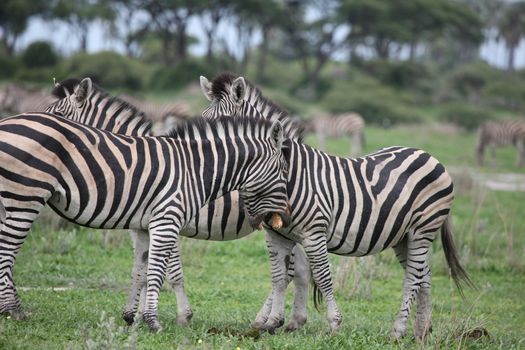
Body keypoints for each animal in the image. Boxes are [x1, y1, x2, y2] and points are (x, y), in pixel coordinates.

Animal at [0, 110, 290, 330]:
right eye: (283, 171)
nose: (285, 215)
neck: (195, 170)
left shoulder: (143, 225)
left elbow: (141, 270)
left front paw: (135, 317)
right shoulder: (167, 219)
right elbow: (158, 272)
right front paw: (153, 320)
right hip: (25, 196)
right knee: (7, 250)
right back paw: (13, 310)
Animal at [199, 73, 472, 340]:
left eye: (223, 126)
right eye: (203, 121)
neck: (288, 174)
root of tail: (430, 156)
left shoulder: (313, 233)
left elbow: (321, 276)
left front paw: (333, 325)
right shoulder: (277, 235)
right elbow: (279, 277)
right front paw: (271, 323)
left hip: (422, 230)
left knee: (413, 279)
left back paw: (397, 331)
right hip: (403, 236)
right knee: (423, 276)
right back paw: (421, 331)